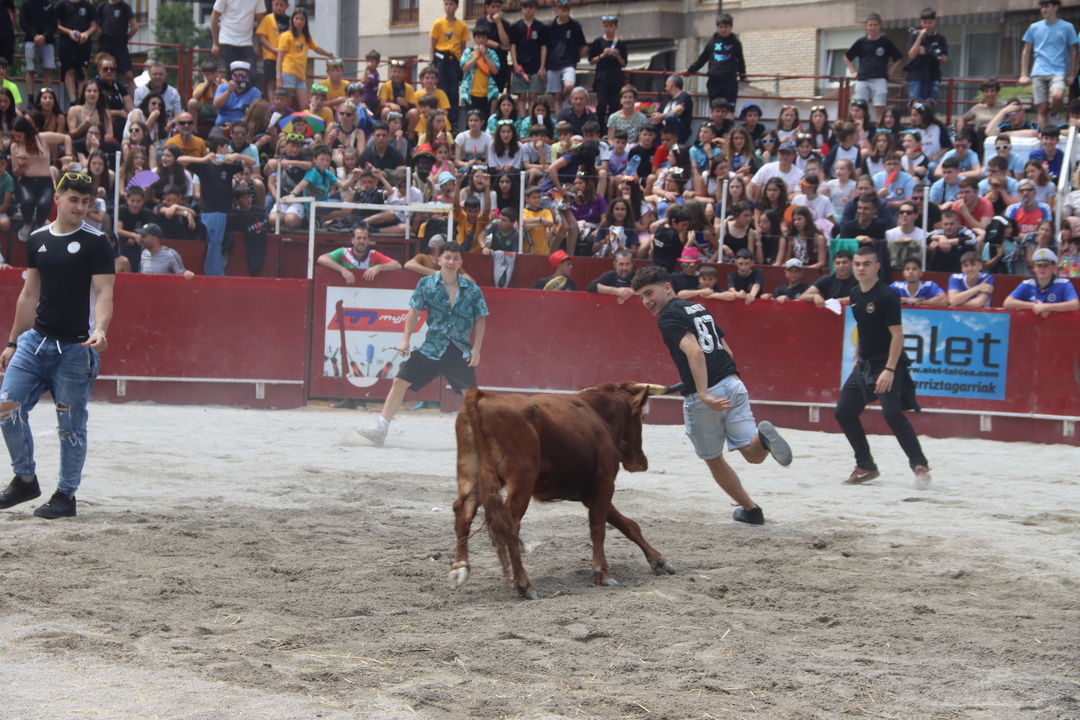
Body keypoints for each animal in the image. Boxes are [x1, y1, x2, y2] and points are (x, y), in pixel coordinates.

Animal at [450, 382, 678, 600]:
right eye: (642, 416)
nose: (641, 463)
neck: (597, 413)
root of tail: (483, 398)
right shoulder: (604, 482)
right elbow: (599, 528)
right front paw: (603, 573)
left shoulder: (588, 493)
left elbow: (628, 525)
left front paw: (659, 561)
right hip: (522, 478)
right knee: (510, 524)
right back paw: (524, 585)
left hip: (470, 474)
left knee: (464, 511)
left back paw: (460, 568)